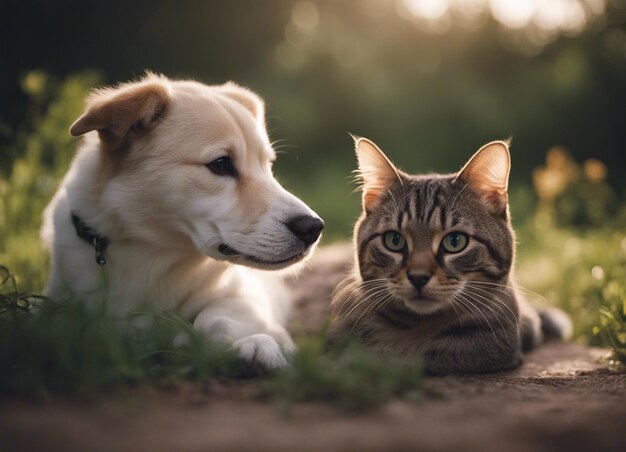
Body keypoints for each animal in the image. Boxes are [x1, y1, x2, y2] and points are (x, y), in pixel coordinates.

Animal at [40, 74, 322, 370]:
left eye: (268, 166)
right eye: (221, 164)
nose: (313, 228)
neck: (151, 254)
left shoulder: (245, 294)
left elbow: (215, 318)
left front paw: (256, 343)